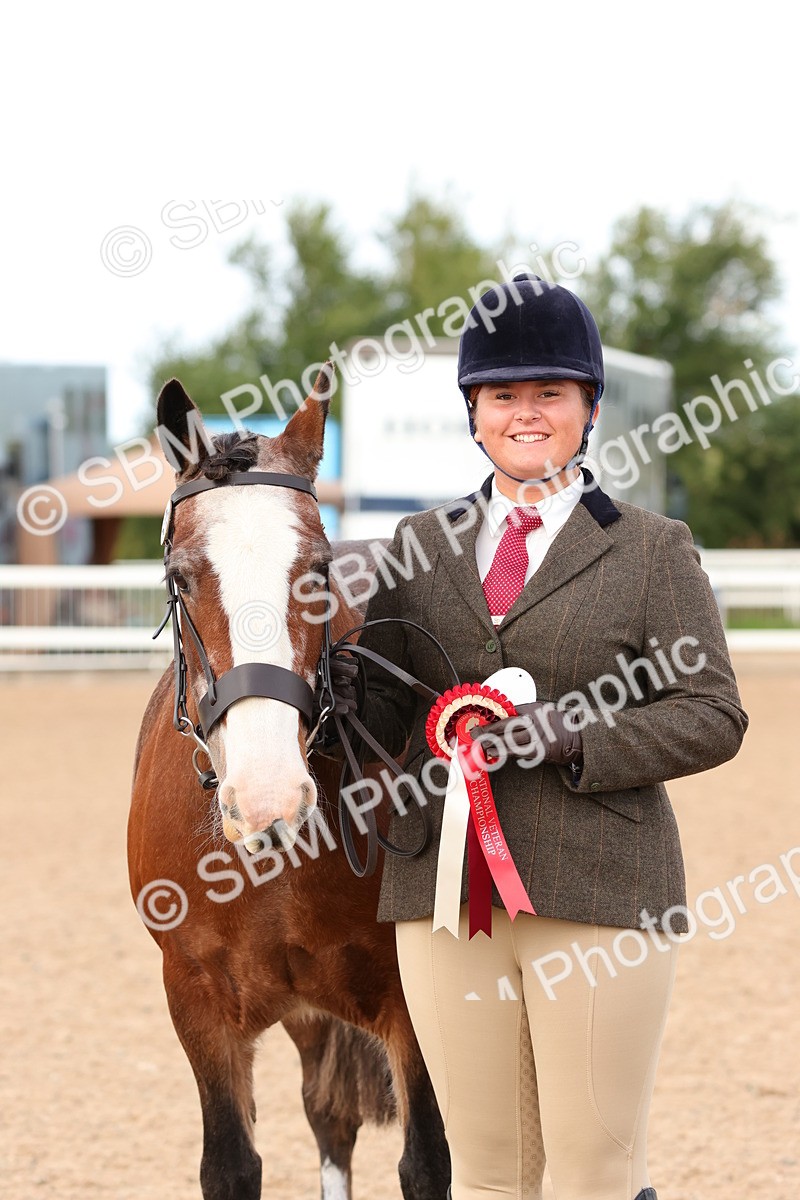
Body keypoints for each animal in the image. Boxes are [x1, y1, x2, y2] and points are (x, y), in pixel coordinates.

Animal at [127, 371, 450, 1200]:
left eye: (317, 571)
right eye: (180, 578)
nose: (268, 797)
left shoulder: (414, 1001)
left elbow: (428, 1162)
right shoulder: (196, 999)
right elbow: (232, 1165)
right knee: (327, 1116)